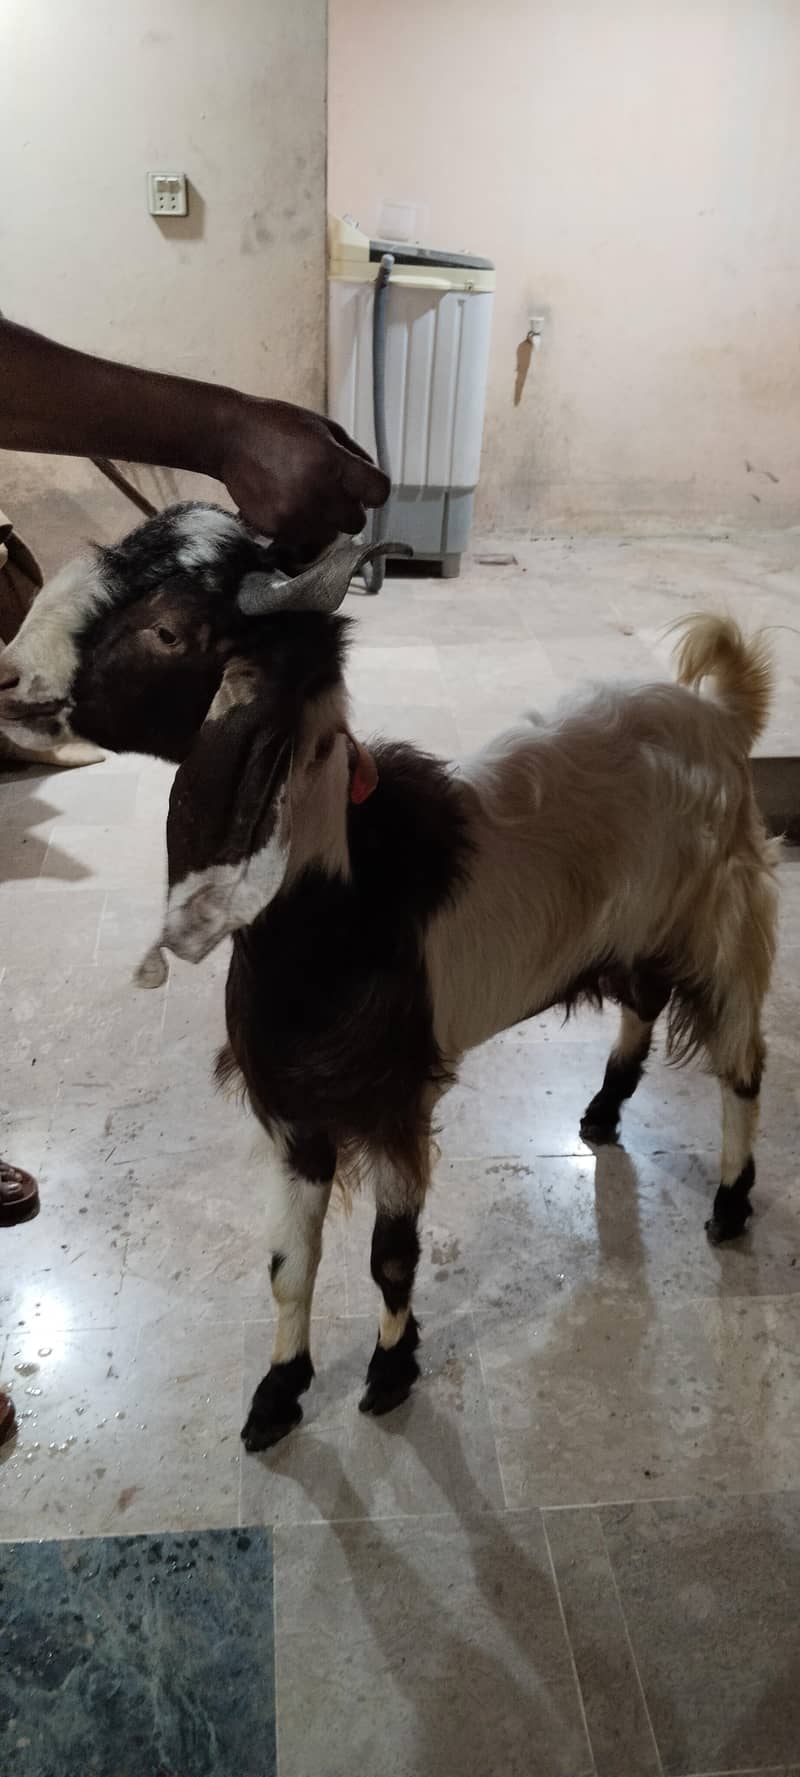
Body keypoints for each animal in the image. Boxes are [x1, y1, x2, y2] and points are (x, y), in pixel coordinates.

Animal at [0, 504, 779, 1452]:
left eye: (168, 629)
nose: (9, 676)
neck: (338, 907)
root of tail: (724, 717)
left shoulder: (397, 1102)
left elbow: (391, 1259)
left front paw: (391, 1370)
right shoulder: (293, 1113)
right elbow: (289, 1265)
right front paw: (278, 1393)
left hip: (725, 921)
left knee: (742, 1063)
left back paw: (731, 1201)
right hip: (644, 922)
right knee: (643, 1000)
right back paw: (600, 1111)